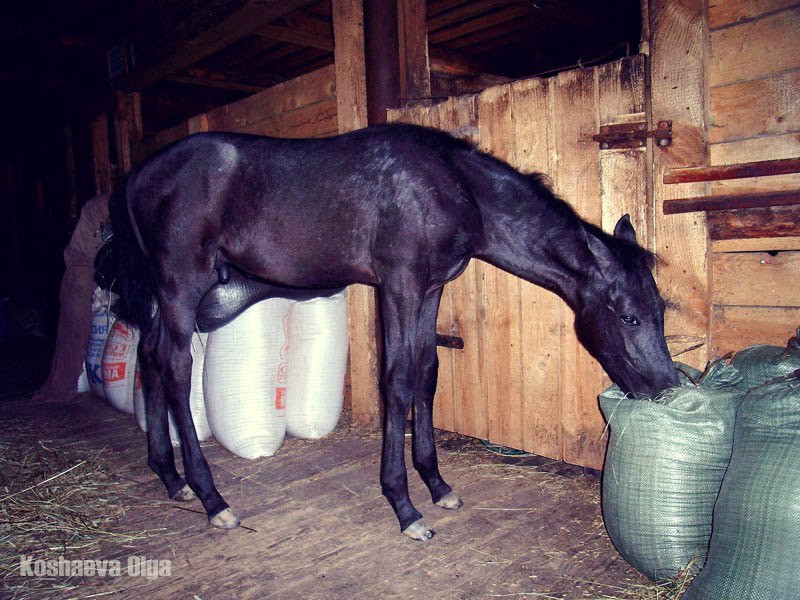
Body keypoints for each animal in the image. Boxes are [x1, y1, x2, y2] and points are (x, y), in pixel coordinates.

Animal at [109, 122, 680, 540]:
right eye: (628, 316)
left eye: (661, 309)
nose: (664, 387)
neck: (452, 187)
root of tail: (135, 179)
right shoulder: (400, 284)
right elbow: (398, 381)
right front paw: (405, 506)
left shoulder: (431, 289)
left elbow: (426, 373)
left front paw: (437, 483)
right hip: (182, 282)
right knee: (175, 366)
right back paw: (212, 499)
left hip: (168, 292)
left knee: (151, 358)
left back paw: (171, 478)